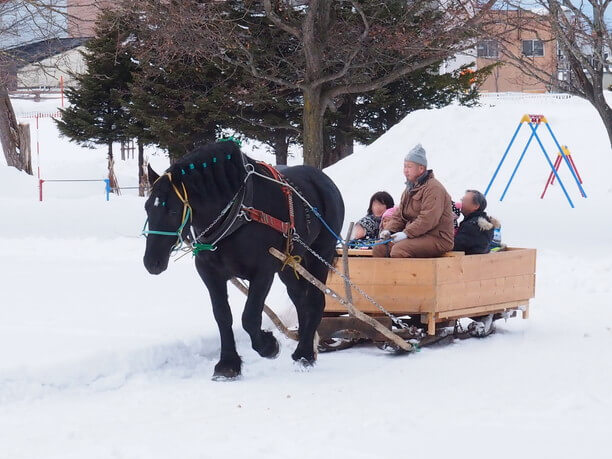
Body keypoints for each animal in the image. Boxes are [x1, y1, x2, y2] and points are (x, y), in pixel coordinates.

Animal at [143, 141, 344, 380]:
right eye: (147, 207)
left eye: (173, 211)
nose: (151, 262)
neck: (238, 211)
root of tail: (324, 180)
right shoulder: (209, 272)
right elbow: (222, 315)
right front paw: (227, 364)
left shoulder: (263, 270)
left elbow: (250, 317)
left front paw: (268, 346)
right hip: (289, 263)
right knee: (300, 300)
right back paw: (305, 348)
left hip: (320, 253)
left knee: (314, 300)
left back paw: (304, 354)